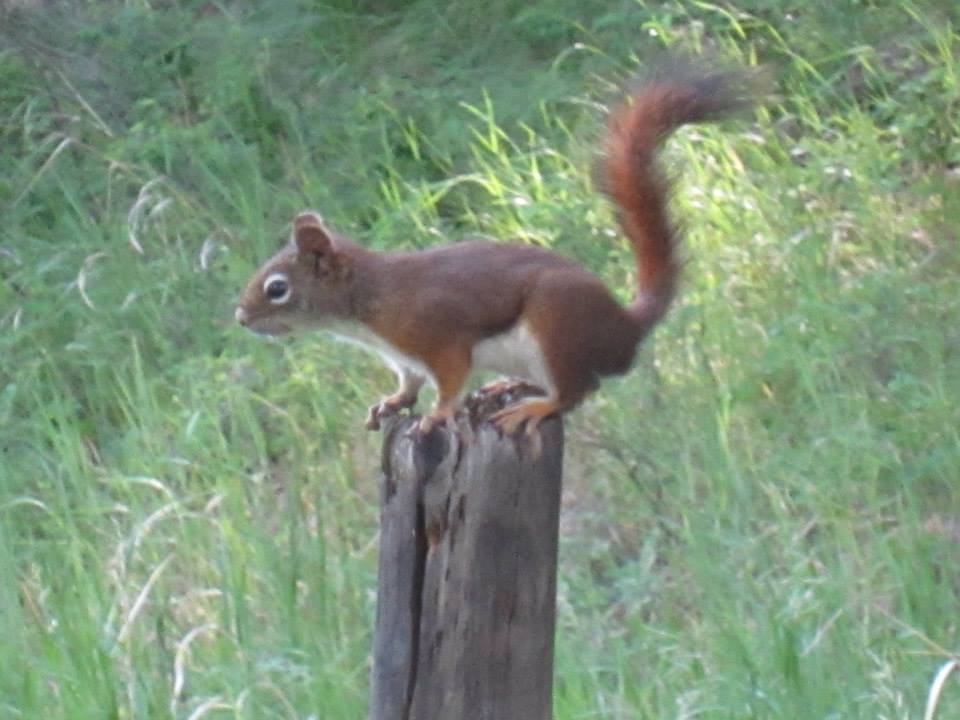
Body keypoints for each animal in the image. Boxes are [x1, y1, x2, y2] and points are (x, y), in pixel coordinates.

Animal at [235, 65, 753, 439]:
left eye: (277, 288)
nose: (241, 318)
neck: (368, 303)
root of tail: (625, 328)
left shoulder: (436, 335)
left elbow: (447, 381)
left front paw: (437, 415)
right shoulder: (405, 359)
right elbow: (409, 384)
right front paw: (394, 402)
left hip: (556, 321)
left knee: (577, 389)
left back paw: (536, 406)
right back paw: (508, 386)